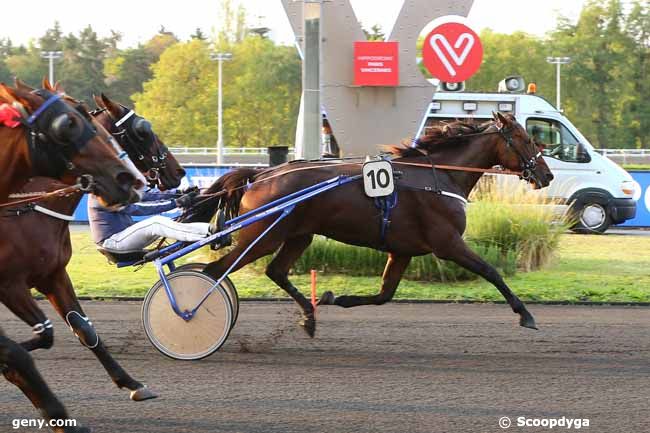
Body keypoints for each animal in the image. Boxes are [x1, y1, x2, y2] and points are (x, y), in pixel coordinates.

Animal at [189, 113, 552, 336]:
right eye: (524, 138)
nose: (546, 175)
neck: (439, 177)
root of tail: (261, 175)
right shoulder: (447, 243)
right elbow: (492, 271)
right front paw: (526, 314)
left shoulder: (402, 250)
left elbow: (383, 295)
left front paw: (336, 298)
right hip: (263, 237)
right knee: (214, 272)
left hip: (298, 235)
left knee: (275, 271)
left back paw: (309, 317)